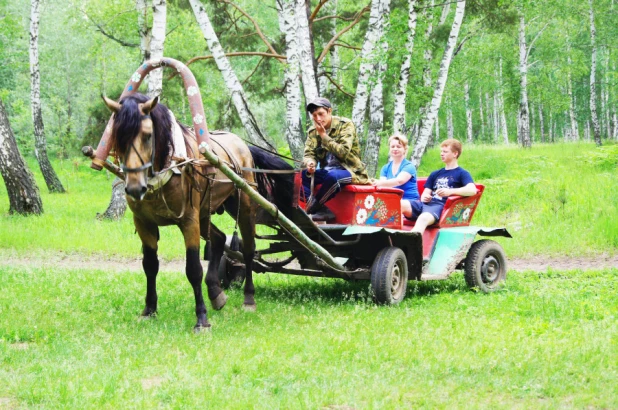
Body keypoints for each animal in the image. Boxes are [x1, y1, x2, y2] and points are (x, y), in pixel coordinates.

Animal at [101, 93, 294, 330]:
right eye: (117, 136)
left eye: (147, 135)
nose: (135, 188)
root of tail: (242, 144)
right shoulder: (144, 222)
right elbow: (150, 265)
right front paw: (149, 310)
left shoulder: (188, 221)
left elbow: (193, 269)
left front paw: (201, 319)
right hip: (205, 213)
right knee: (219, 239)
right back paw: (215, 291)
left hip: (244, 207)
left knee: (249, 251)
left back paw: (248, 299)